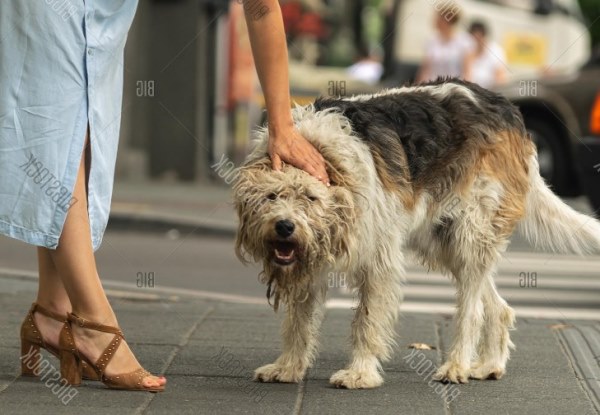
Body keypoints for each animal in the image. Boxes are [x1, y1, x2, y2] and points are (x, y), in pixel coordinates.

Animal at [231, 79, 600, 390]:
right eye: (271, 197)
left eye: (310, 198)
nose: (284, 226)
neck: (327, 158)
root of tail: (508, 109)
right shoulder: (310, 260)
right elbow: (299, 321)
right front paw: (288, 367)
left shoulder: (378, 260)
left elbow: (366, 320)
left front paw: (360, 373)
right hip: (444, 240)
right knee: (497, 306)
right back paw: (489, 365)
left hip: (471, 232)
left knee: (472, 311)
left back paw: (456, 366)